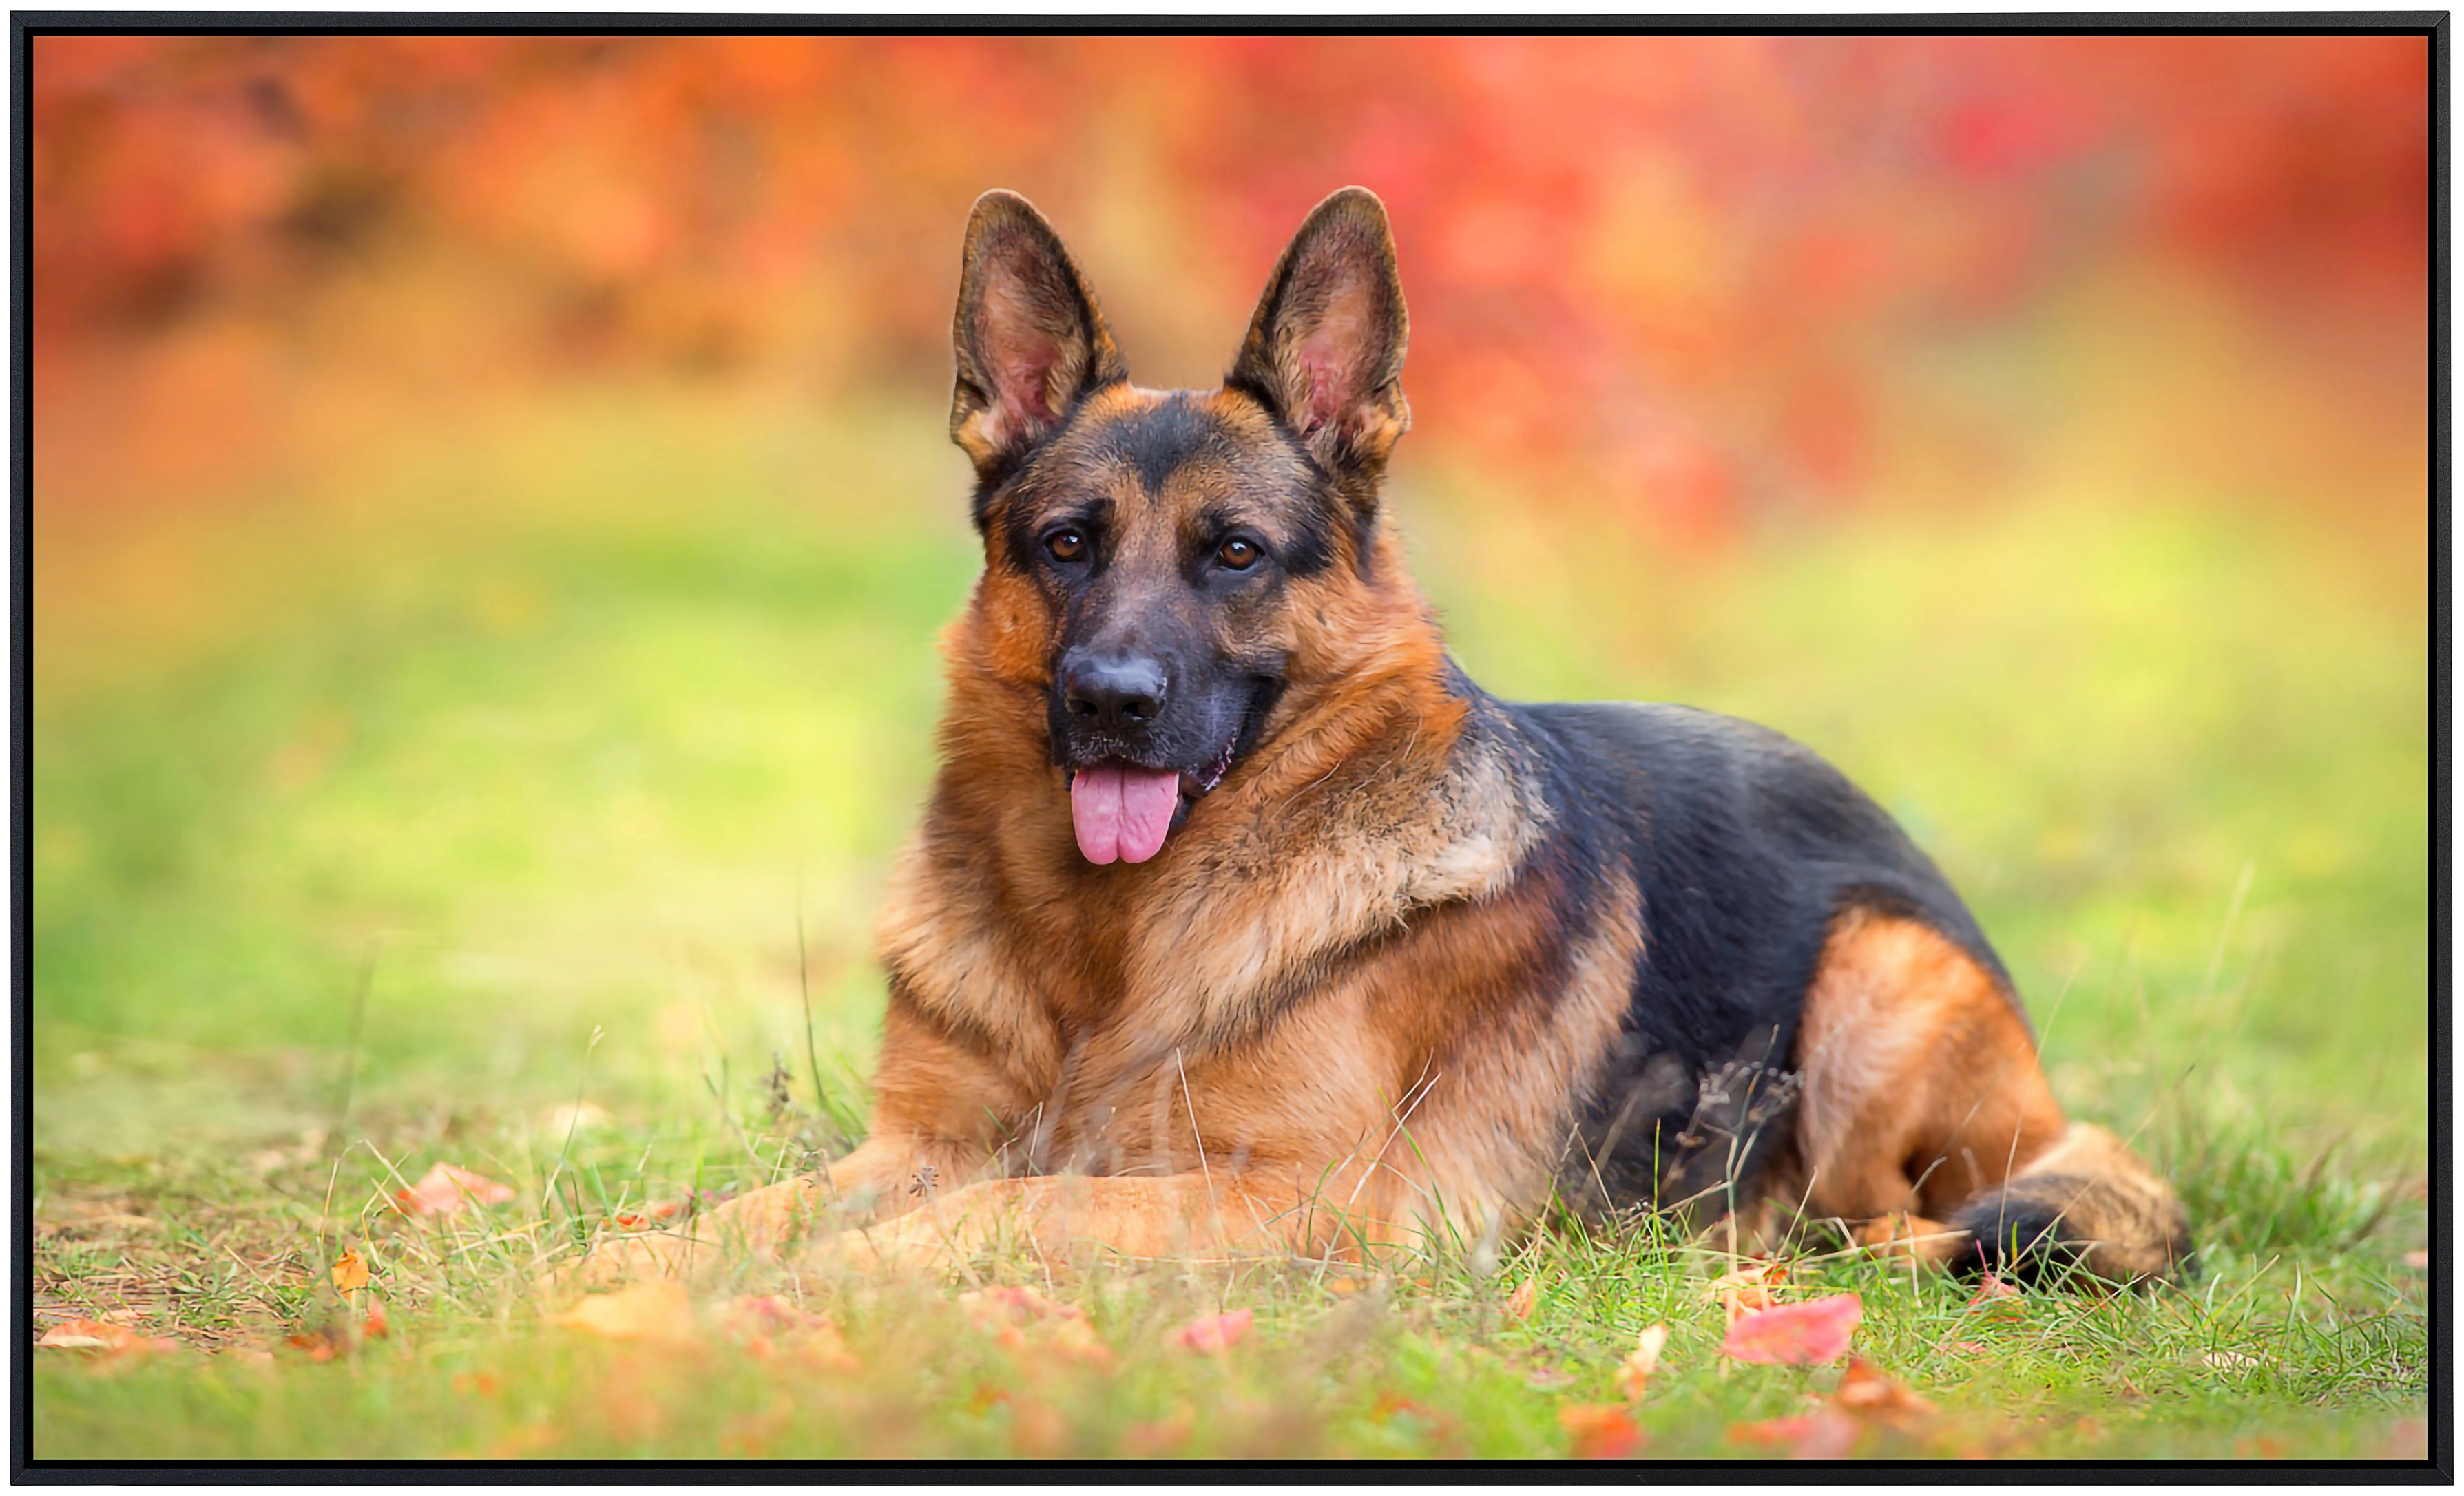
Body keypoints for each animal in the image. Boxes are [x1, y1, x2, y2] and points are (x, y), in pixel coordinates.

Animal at [572, 185, 2197, 1291]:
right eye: (1063, 544)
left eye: (1233, 554)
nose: (1108, 700)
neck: (1106, 949)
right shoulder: (909, 1144)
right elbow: (738, 1211)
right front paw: (610, 1272)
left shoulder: (1297, 1199)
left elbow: (995, 1210)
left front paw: (826, 1289)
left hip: (1873, 980)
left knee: (1892, 1223)